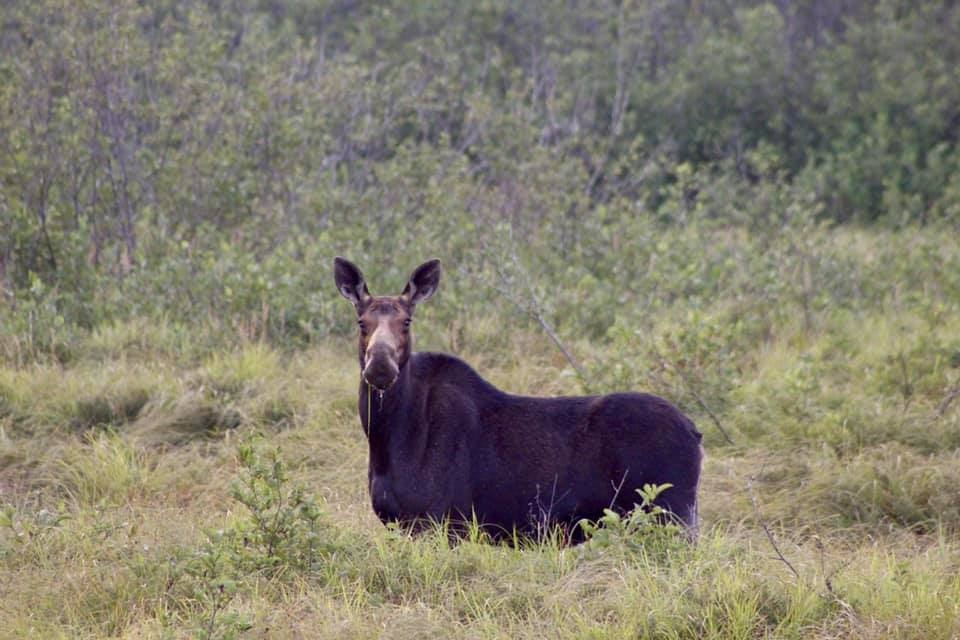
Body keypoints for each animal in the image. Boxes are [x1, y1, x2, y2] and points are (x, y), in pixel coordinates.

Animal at [334, 258, 700, 544]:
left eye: (407, 321)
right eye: (361, 322)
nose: (380, 365)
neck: (387, 438)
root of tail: (696, 433)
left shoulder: (441, 523)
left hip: (672, 512)